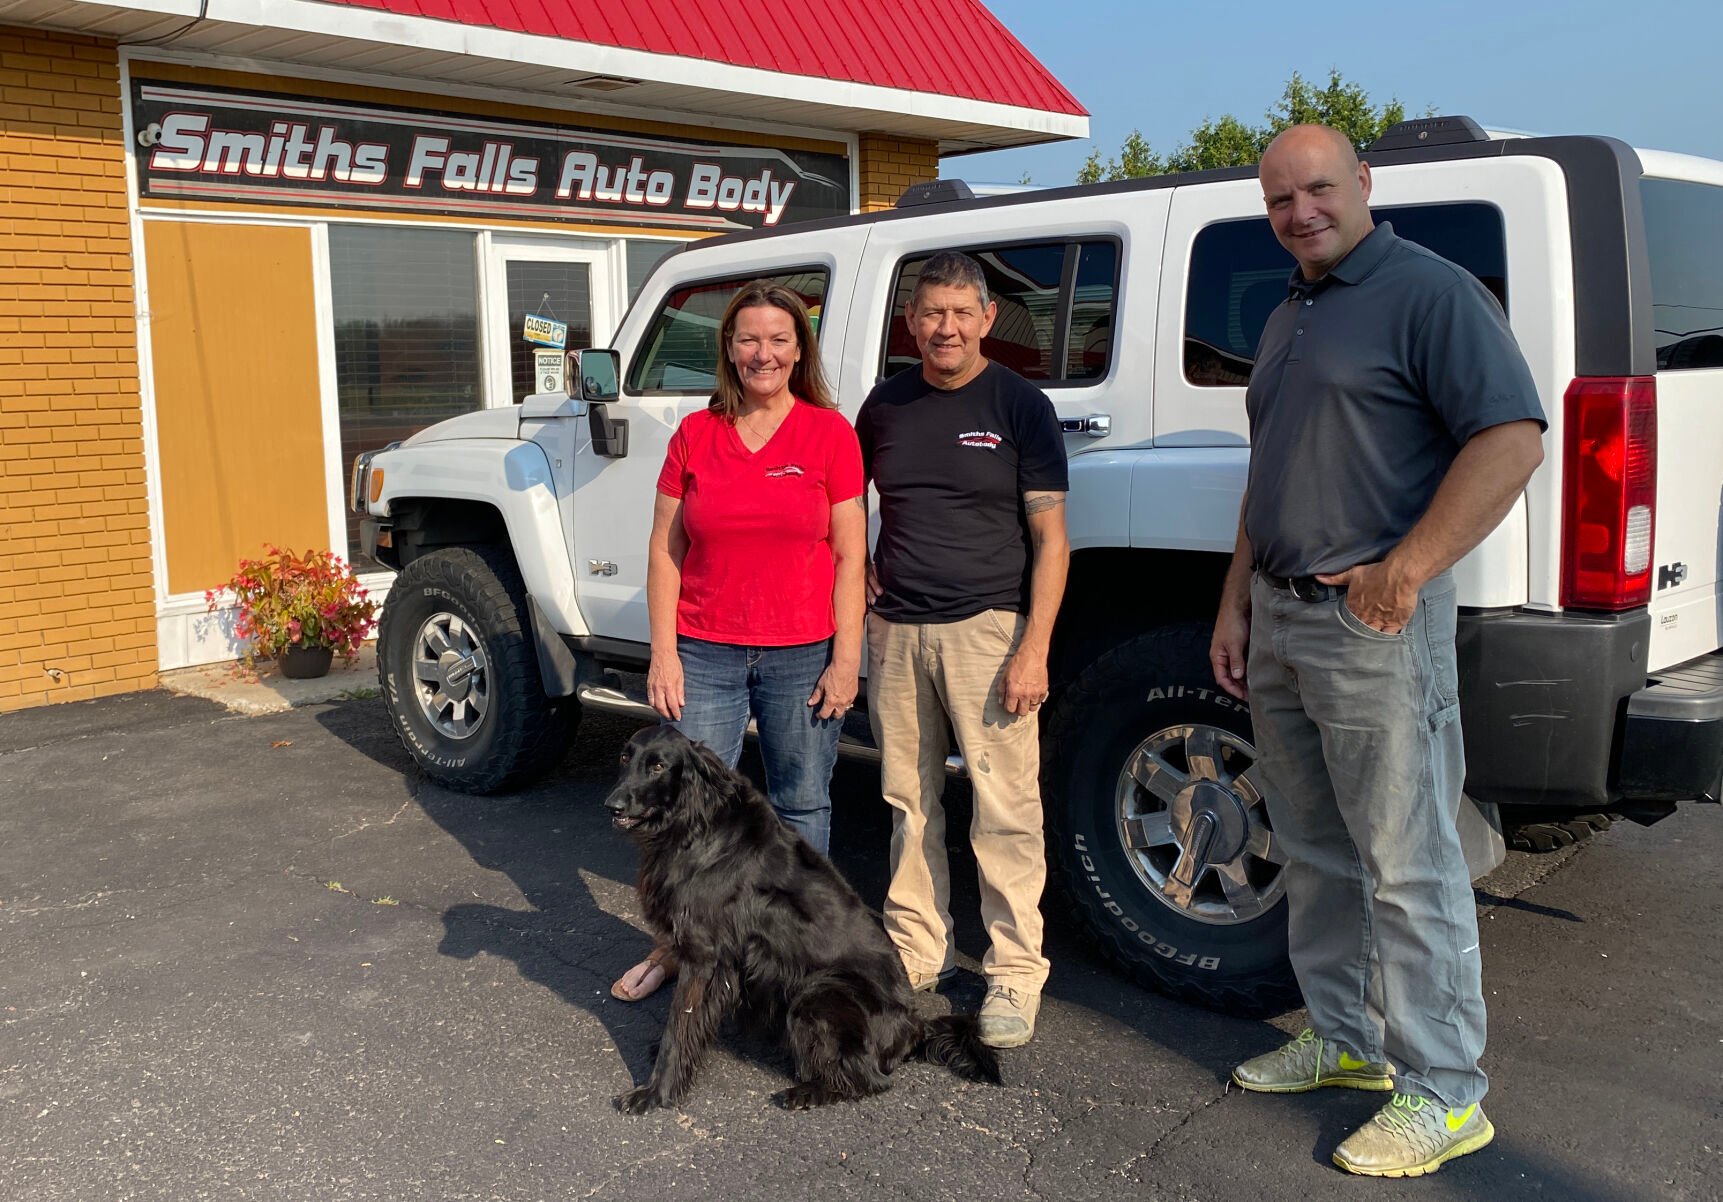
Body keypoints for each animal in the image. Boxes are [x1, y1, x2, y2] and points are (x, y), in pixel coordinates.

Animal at [609, 716, 1006, 1109]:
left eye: (658, 766)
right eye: (625, 758)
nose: (612, 805)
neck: (697, 825)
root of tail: (914, 1027)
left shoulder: (704, 956)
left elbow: (679, 1028)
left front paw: (656, 1092)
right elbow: (691, 1025)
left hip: (819, 992)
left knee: (869, 1080)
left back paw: (806, 1092)